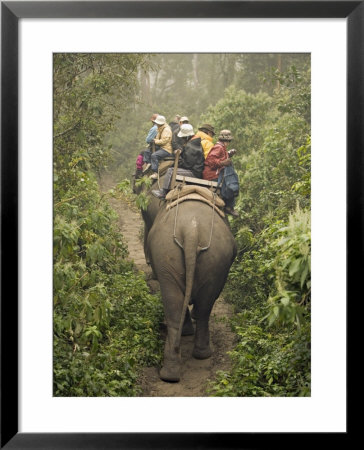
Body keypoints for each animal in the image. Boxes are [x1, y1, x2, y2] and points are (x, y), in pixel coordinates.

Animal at [139, 172, 236, 384]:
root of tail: (192, 230)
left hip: (168, 253)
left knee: (177, 305)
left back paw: (173, 369)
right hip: (212, 259)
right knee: (202, 305)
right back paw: (192, 359)